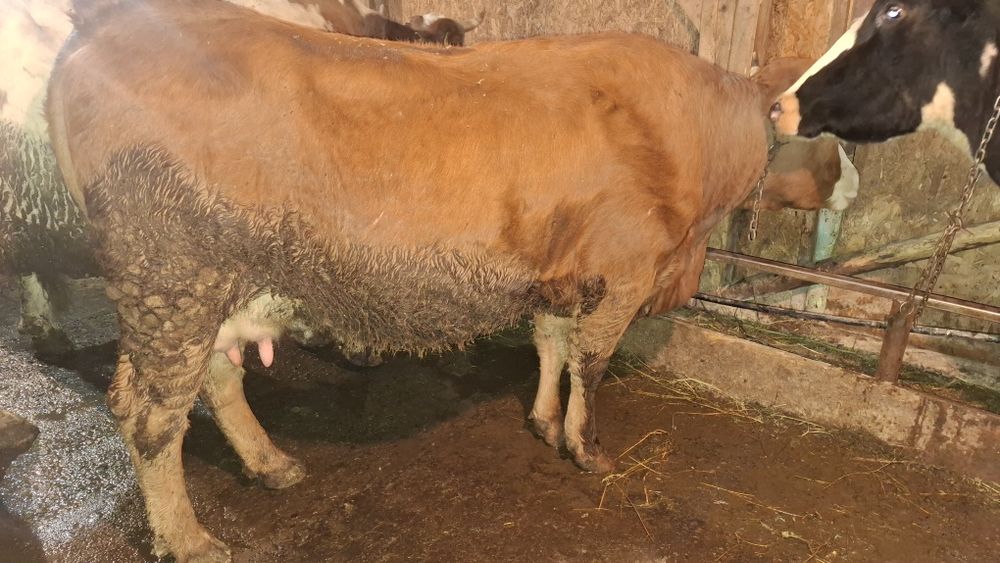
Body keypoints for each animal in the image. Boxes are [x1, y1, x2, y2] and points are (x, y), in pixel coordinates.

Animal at [48, 1, 850, 560]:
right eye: (825, 127)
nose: (847, 185)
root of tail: (108, 28)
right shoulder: (624, 273)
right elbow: (590, 363)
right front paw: (587, 448)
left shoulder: (559, 271)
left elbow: (550, 345)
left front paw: (543, 421)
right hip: (169, 277)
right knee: (151, 414)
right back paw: (188, 537)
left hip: (213, 284)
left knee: (215, 379)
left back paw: (271, 463)